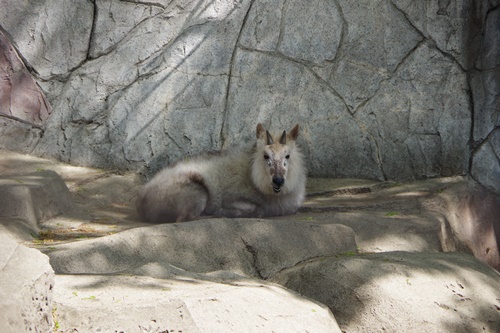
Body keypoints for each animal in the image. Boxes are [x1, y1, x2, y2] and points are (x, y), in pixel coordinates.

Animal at [137, 123, 308, 222]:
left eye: (287, 155)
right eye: (266, 156)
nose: (278, 181)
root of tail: (142, 200)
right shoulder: (232, 198)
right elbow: (258, 209)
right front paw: (225, 212)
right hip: (199, 192)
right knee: (185, 218)